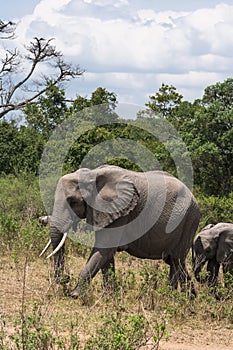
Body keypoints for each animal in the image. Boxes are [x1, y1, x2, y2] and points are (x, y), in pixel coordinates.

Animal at [40, 165, 200, 296]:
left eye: (72, 201)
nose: (65, 279)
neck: (92, 175)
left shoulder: (120, 212)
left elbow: (103, 250)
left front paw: (74, 295)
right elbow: (106, 255)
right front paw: (110, 295)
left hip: (189, 220)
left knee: (176, 260)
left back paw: (171, 297)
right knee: (176, 262)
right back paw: (188, 298)